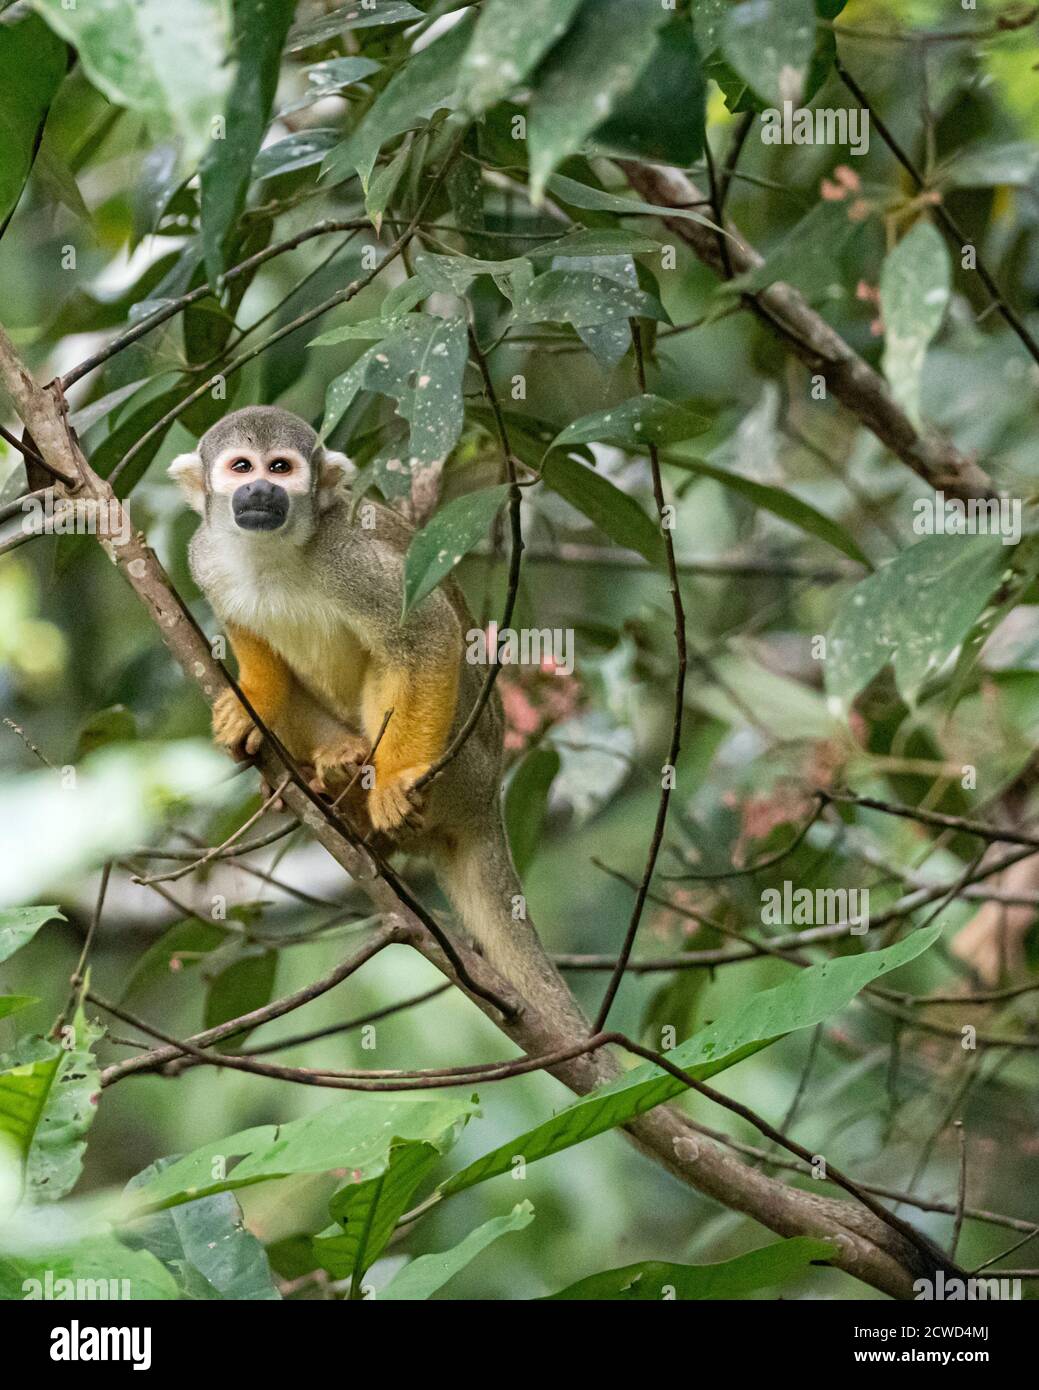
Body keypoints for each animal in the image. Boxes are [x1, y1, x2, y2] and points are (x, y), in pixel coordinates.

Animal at [166, 403, 581, 1023]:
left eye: (281, 467)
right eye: (241, 467)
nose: (261, 489)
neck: (272, 551)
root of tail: (487, 800)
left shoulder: (349, 555)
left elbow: (427, 631)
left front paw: (395, 779)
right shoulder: (205, 557)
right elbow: (248, 637)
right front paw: (253, 703)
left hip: (462, 766)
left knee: (397, 658)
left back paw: (370, 787)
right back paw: (335, 765)